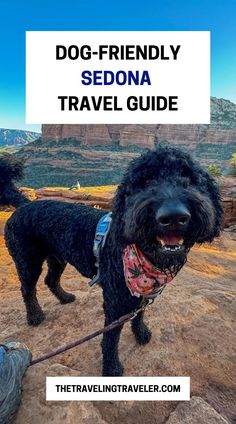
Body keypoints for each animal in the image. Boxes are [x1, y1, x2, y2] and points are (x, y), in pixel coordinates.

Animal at [0, 145, 222, 374]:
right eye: (144, 182)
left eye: (190, 178)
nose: (173, 216)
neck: (144, 255)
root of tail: (24, 205)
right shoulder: (115, 302)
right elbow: (110, 338)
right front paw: (112, 367)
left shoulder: (141, 294)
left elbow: (139, 314)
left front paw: (140, 332)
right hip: (27, 260)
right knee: (28, 289)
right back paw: (34, 316)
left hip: (57, 257)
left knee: (50, 280)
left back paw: (65, 297)